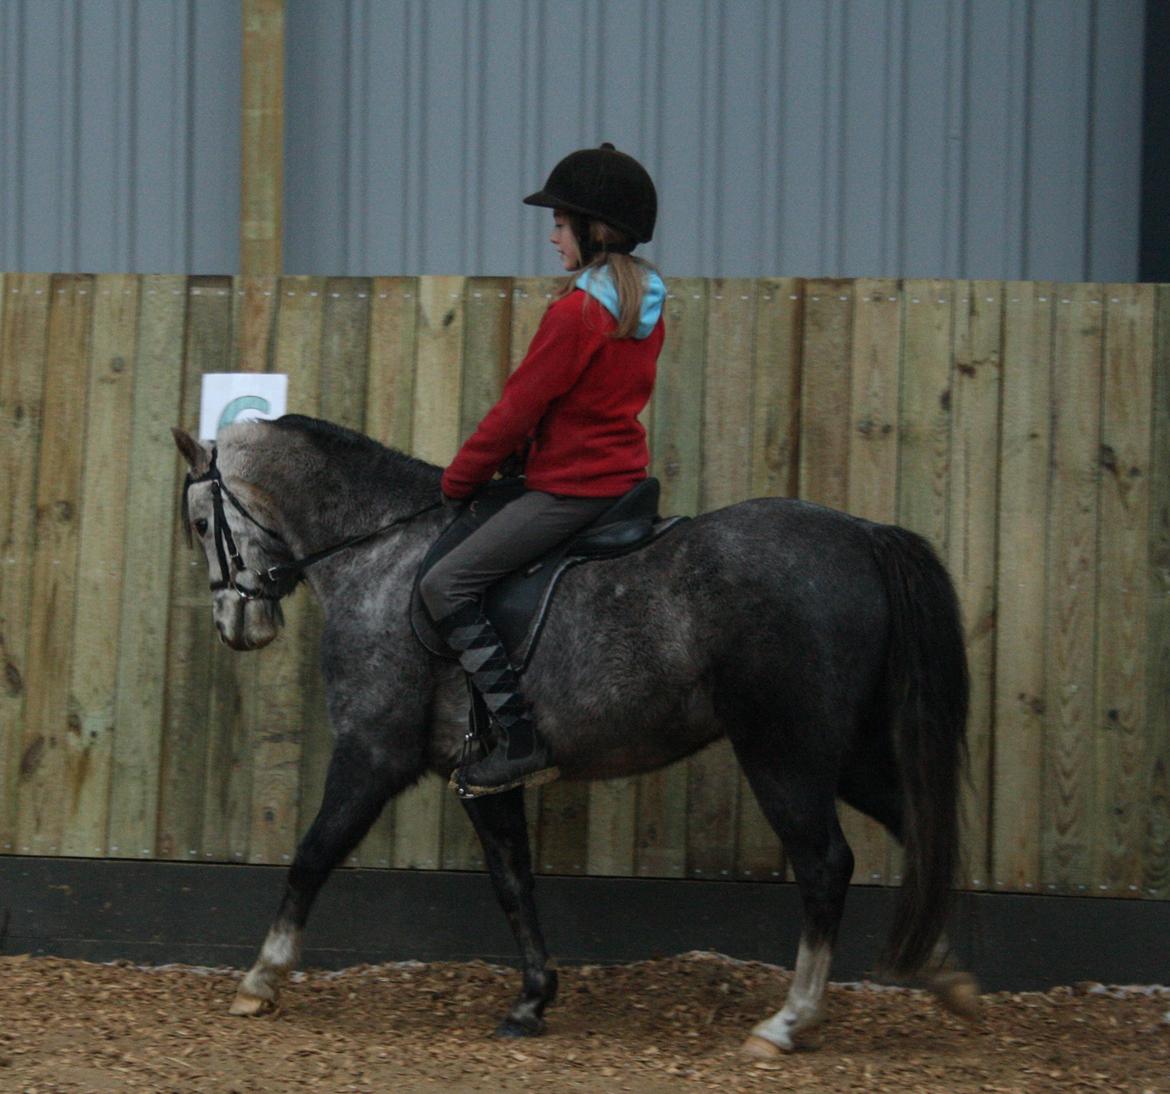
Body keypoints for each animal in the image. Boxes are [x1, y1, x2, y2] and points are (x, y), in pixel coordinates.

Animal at [172, 414, 978, 1055]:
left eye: (202, 525)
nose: (236, 625)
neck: (380, 549)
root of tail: (864, 535)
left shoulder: (372, 752)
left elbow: (312, 855)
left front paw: (261, 979)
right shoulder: (483, 776)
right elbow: (513, 883)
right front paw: (532, 1000)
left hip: (785, 753)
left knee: (826, 865)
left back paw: (789, 1021)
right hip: (846, 753)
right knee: (917, 827)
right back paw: (944, 971)